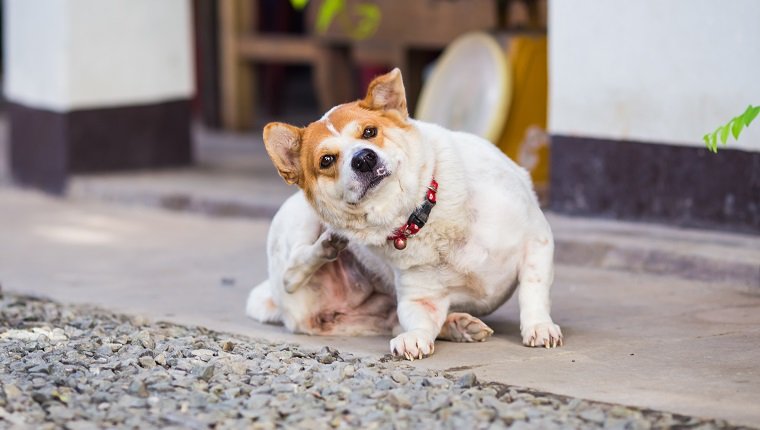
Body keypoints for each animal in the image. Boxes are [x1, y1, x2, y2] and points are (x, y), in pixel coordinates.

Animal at [246, 69, 560, 358]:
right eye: (326, 160)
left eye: (369, 132)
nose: (364, 159)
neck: (418, 214)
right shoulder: (420, 299)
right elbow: (419, 323)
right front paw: (416, 338)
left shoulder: (537, 240)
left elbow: (532, 290)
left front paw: (538, 326)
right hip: (299, 222)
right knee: (291, 271)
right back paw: (326, 247)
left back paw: (458, 325)